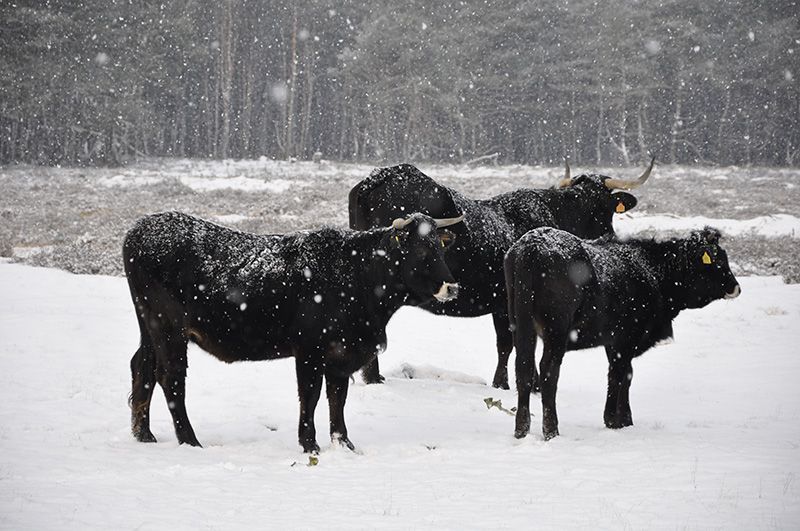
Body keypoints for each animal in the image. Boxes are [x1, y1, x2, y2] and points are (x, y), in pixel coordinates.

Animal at [125, 211, 462, 454]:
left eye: (441, 248)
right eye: (421, 251)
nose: (452, 286)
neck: (356, 275)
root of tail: (140, 227)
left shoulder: (341, 353)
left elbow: (337, 398)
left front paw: (344, 443)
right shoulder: (309, 350)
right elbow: (310, 396)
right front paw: (309, 444)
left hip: (150, 329)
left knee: (142, 367)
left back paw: (144, 434)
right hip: (169, 329)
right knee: (171, 378)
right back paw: (190, 441)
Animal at [350, 160, 656, 388]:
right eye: (606, 209)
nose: (611, 235)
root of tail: (383, 176)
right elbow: (510, 344)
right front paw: (512, 384)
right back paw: (373, 377)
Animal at [510, 227, 740, 438]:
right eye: (718, 261)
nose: (736, 287)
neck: (651, 271)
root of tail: (533, 243)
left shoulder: (614, 342)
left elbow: (625, 375)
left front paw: (625, 418)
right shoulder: (626, 338)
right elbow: (619, 374)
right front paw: (613, 419)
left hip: (520, 325)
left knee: (524, 367)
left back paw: (521, 429)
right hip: (556, 330)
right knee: (549, 370)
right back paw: (551, 430)